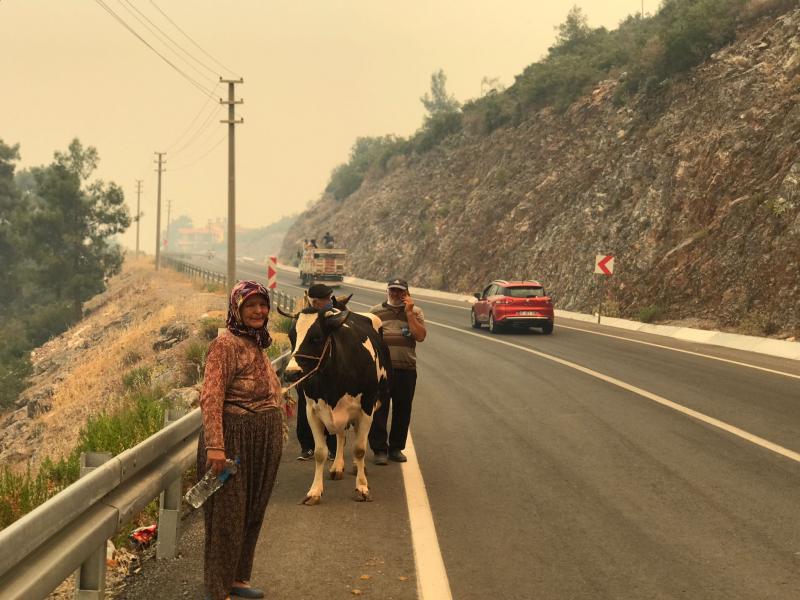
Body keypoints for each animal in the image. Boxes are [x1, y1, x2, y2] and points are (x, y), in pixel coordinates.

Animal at [282, 302, 392, 504]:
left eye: (316, 338)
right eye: (291, 336)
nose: (291, 373)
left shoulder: (366, 409)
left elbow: (359, 449)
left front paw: (362, 487)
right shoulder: (312, 411)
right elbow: (320, 452)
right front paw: (315, 491)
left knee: (356, 437)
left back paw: (358, 468)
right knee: (341, 436)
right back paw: (337, 467)